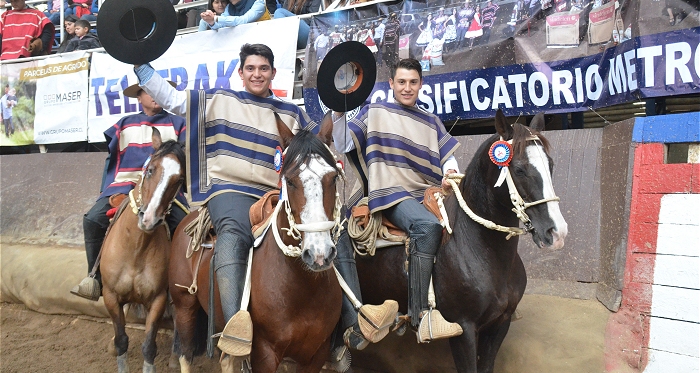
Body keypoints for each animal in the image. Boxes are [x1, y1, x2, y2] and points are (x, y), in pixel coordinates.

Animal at [99, 129, 186, 372]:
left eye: (179, 180)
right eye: (150, 169)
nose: (149, 219)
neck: (136, 248)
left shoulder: (157, 299)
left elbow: (149, 347)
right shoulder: (111, 296)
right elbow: (121, 341)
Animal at [170, 113, 344, 372]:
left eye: (332, 178)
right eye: (290, 181)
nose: (319, 254)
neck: (301, 289)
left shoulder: (316, 354)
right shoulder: (265, 353)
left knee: (225, 359)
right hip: (184, 306)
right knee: (186, 354)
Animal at [356, 110, 568, 372]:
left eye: (550, 165)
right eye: (519, 169)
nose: (556, 232)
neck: (481, 251)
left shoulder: (500, 323)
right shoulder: (463, 329)